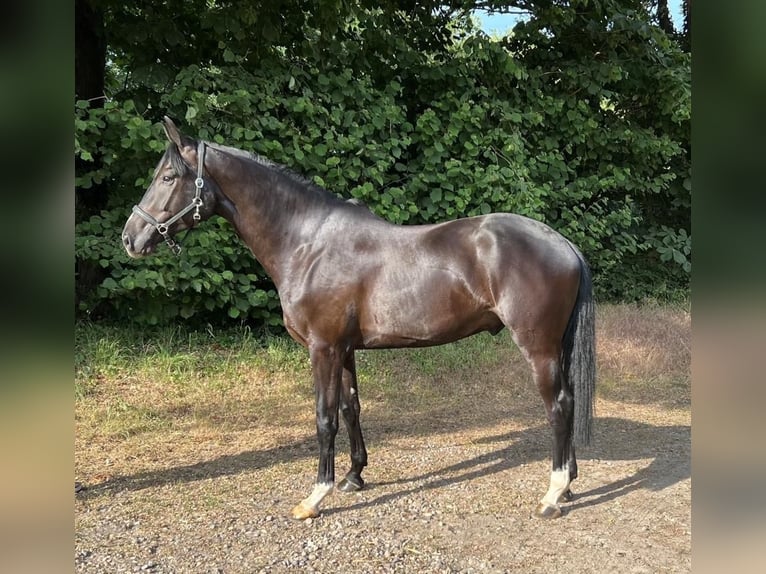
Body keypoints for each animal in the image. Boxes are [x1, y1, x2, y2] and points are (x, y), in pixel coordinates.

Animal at [123, 117, 596, 520]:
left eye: (168, 178)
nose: (130, 237)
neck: (307, 242)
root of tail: (562, 243)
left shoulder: (323, 349)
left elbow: (324, 417)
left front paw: (316, 496)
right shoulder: (345, 349)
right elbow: (351, 408)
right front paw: (354, 476)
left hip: (537, 346)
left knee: (558, 405)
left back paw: (552, 495)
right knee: (569, 401)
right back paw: (569, 484)